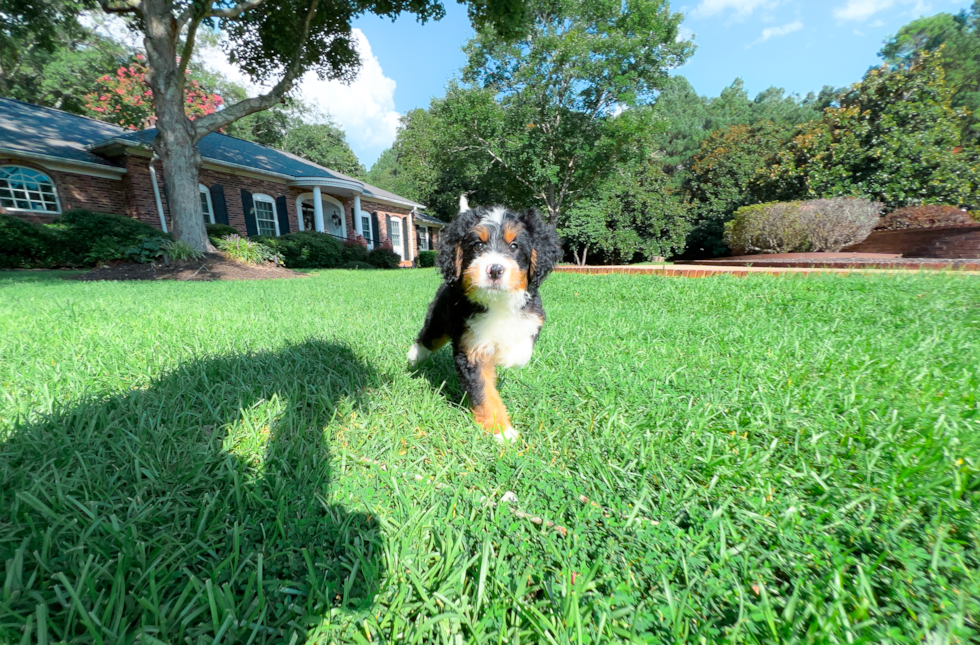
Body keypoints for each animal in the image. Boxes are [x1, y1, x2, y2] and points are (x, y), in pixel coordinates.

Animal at [406, 196, 560, 440]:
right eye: (478, 245)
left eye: (514, 246)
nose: (495, 269)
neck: (497, 302)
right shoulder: (471, 349)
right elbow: (484, 392)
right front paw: (502, 431)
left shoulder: (532, 315)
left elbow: (522, 347)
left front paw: (509, 356)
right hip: (440, 318)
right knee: (428, 338)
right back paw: (414, 356)